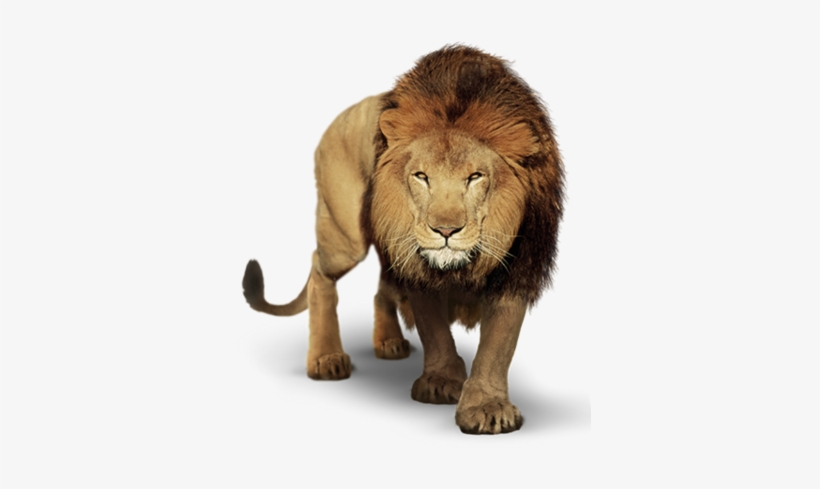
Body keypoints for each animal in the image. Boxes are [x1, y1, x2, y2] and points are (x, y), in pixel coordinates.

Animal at [242, 46, 564, 434]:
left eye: (475, 177)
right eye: (421, 176)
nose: (445, 230)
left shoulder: (518, 265)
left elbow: (498, 344)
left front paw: (487, 407)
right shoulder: (417, 264)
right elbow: (434, 328)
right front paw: (441, 382)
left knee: (381, 287)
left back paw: (389, 343)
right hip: (346, 238)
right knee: (320, 272)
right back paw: (326, 357)